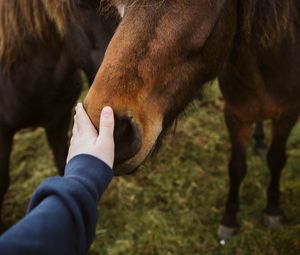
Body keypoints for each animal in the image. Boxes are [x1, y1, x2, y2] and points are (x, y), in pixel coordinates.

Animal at [84, 0, 300, 241]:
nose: (114, 130)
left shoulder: (288, 116)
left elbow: (276, 159)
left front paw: (272, 210)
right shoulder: (235, 116)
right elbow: (237, 167)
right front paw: (230, 219)